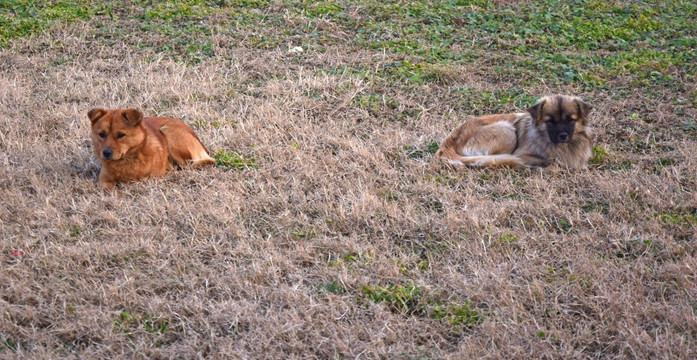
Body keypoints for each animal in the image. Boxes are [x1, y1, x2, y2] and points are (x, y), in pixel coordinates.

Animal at [436, 95, 592, 169]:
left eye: (571, 120)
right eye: (550, 121)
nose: (563, 136)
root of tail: (451, 139)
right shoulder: (521, 153)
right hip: (507, 131)